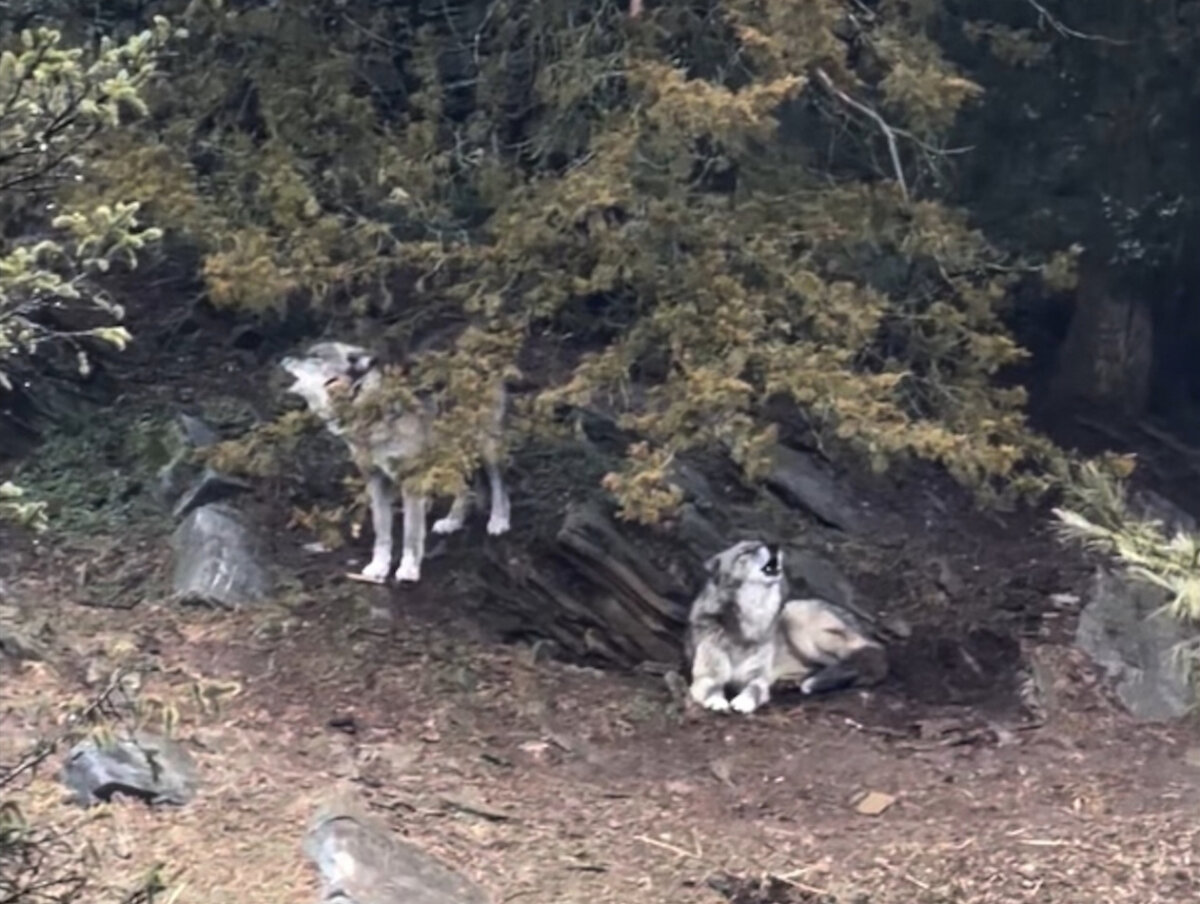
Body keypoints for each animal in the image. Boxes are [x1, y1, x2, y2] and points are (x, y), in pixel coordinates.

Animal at [279, 340, 510, 585]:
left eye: (316, 357)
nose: (283, 359)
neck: (366, 404)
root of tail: (477, 353)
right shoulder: (375, 481)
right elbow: (382, 532)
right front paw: (378, 567)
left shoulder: (412, 480)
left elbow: (411, 532)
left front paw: (408, 569)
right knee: (465, 487)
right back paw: (453, 520)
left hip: (487, 446)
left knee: (499, 484)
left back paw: (499, 521)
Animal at [685, 540, 887, 714]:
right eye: (746, 551)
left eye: (762, 543)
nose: (774, 545)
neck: (751, 622)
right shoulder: (707, 676)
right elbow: (712, 688)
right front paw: (717, 701)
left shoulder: (757, 678)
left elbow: (754, 689)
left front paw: (744, 702)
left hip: (797, 623)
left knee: (853, 660)